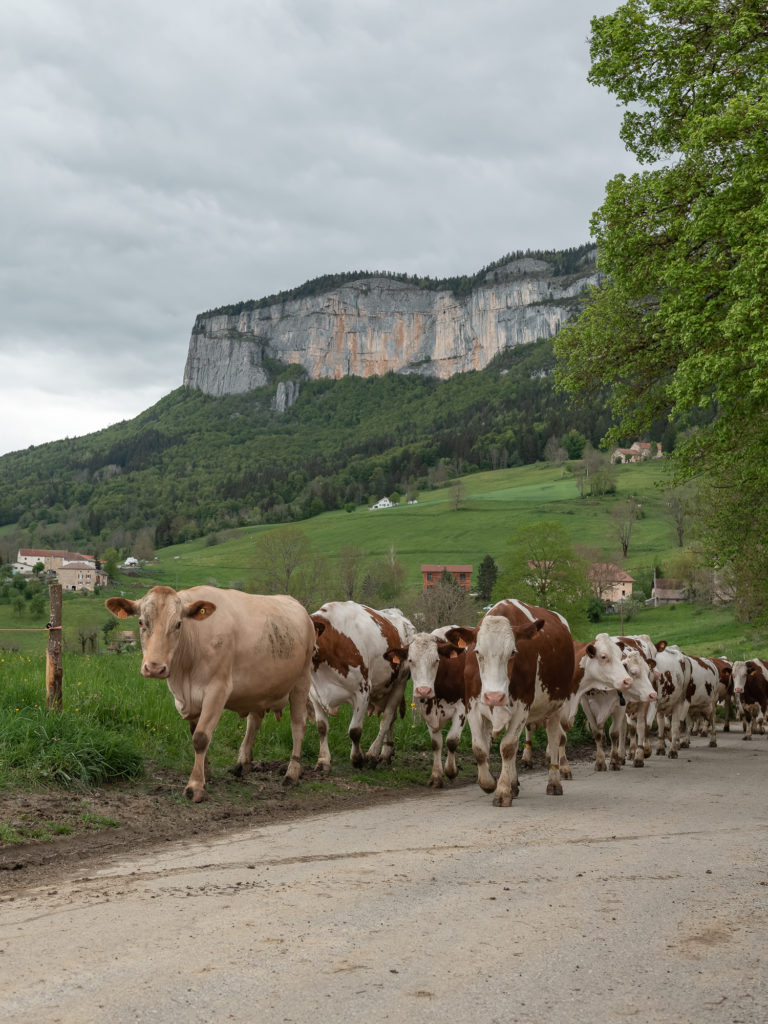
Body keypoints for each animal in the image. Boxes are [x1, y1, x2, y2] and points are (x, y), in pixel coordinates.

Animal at [105, 585, 315, 798]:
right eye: (141, 622)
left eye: (178, 624)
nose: (154, 668)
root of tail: (299, 606)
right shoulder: (188, 700)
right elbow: (194, 732)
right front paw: (206, 774)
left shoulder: (217, 690)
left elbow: (200, 738)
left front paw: (195, 785)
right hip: (259, 688)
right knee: (254, 722)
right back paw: (243, 763)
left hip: (302, 681)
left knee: (298, 726)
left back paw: (292, 774)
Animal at [309, 598, 417, 770]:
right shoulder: (314, 693)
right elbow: (322, 728)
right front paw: (323, 761)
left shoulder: (362, 691)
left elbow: (355, 731)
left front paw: (358, 758)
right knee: (391, 719)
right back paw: (387, 752)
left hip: (399, 684)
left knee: (386, 719)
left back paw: (374, 754)